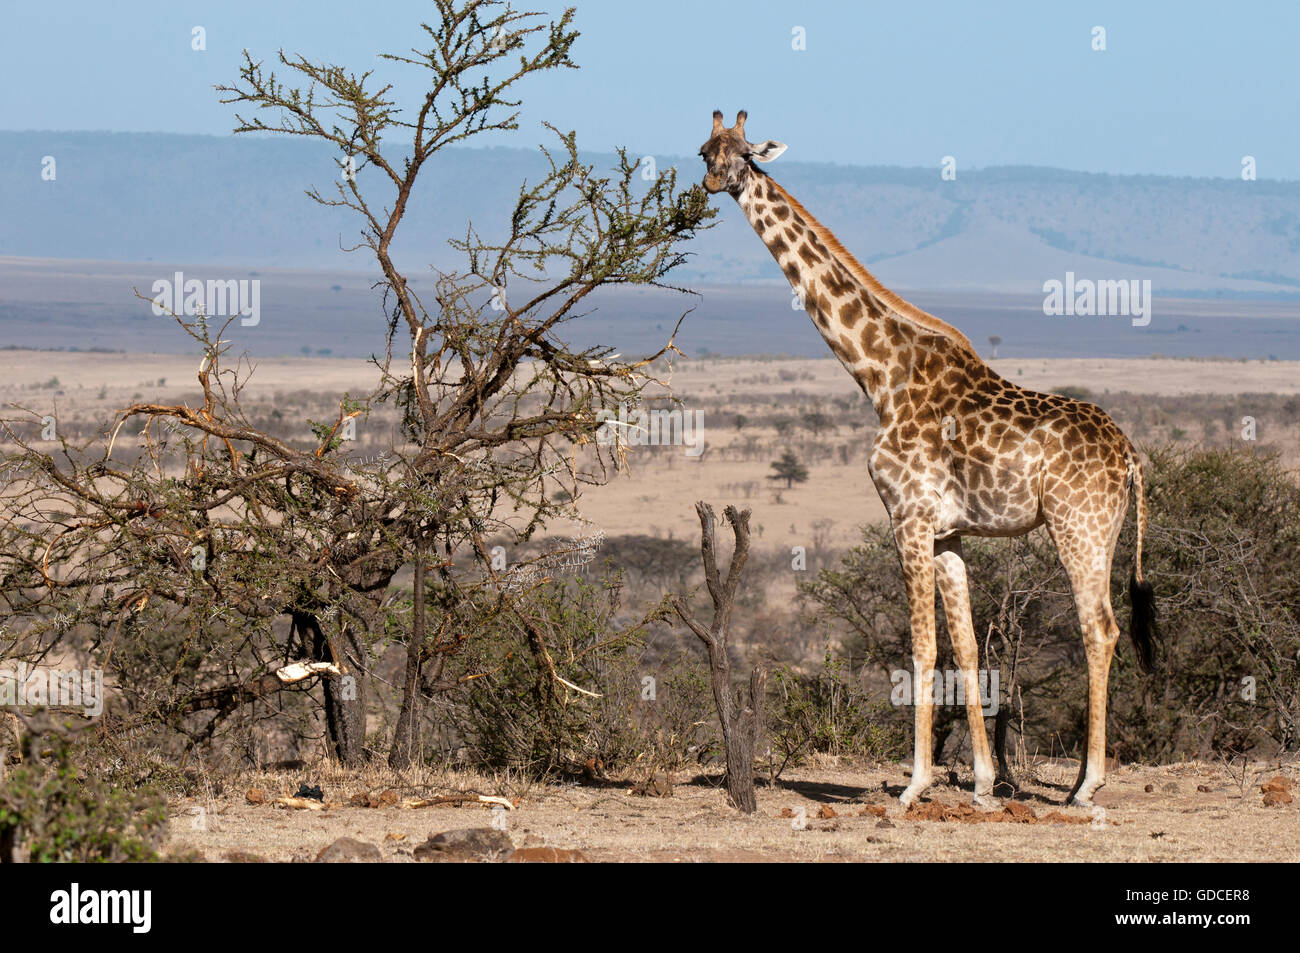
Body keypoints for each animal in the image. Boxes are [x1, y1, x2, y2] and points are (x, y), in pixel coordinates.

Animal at [699, 110, 1158, 808]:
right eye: (705, 150)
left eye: (743, 151)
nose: (712, 183)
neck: (879, 375)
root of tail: (1129, 453)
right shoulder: (947, 534)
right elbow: (965, 649)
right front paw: (984, 783)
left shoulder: (907, 517)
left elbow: (920, 648)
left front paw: (915, 784)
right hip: (1102, 531)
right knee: (1096, 627)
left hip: (1076, 525)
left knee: (1098, 628)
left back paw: (1086, 786)